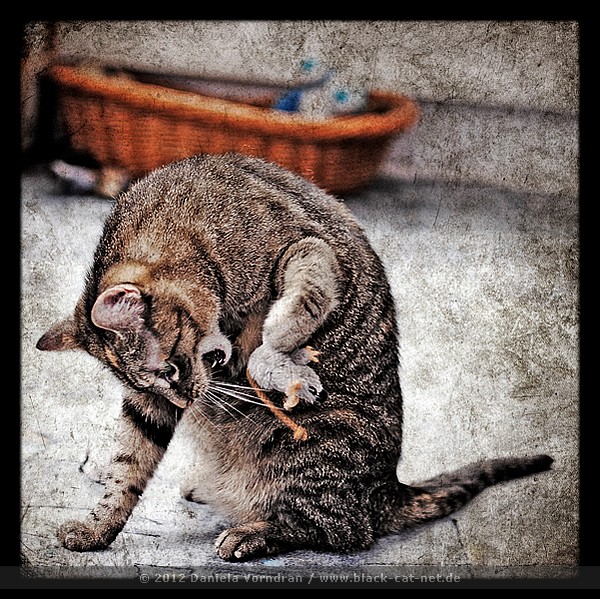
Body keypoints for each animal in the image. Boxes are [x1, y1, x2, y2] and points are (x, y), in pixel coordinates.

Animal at [36, 152, 553, 561]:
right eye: (153, 381)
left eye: (168, 368)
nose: (184, 402)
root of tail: (387, 490)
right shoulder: (147, 408)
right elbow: (125, 469)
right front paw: (97, 529)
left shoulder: (306, 249)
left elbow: (292, 311)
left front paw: (268, 353)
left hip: (302, 452)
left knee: (340, 531)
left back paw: (249, 534)